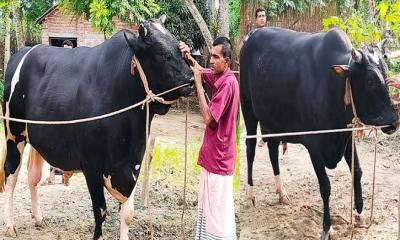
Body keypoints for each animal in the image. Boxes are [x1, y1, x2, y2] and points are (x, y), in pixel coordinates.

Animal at [0, 15, 193, 239]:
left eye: (179, 48)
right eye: (162, 54)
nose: (190, 80)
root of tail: (24, 51)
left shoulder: (133, 165)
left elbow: (128, 213)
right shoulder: (91, 165)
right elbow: (100, 211)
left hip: (36, 137)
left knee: (33, 175)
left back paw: (38, 218)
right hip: (14, 132)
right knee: (11, 173)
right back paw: (10, 224)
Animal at [239, 27, 398, 239]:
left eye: (387, 74)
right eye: (370, 80)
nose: (393, 122)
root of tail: (252, 34)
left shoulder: (346, 137)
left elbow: (357, 171)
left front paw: (360, 214)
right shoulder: (314, 145)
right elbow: (325, 186)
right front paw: (327, 227)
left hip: (272, 121)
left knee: (272, 148)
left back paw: (281, 192)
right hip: (248, 108)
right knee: (250, 148)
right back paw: (251, 194)